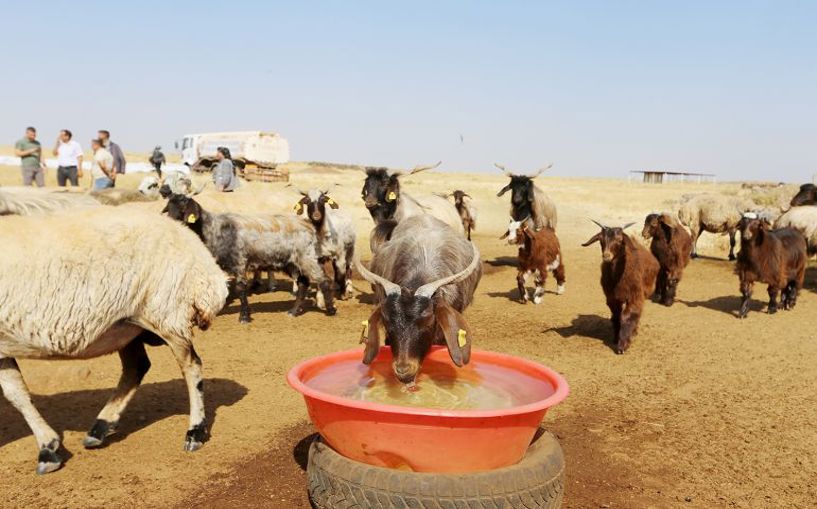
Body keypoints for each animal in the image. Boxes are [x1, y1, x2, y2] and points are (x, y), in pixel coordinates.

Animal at [0, 205, 228, 472]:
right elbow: (18, 395)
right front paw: (48, 449)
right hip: (126, 325)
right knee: (136, 367)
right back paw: (100, 428)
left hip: (166, 312)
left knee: (191, 367)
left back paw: (195, 432)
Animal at [163, 192, 334, 320]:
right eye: (168, 209)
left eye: (184, 209)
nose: (170, 226)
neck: (212, 229)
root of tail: (308, 226)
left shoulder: (239, 261)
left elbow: (240, 288)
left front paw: (244, 316)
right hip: (293, 262)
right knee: (303, 284)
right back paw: (293, 312)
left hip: (307, 259)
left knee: (324, 281)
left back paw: (330, 310)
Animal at [584, 220, 660, 356]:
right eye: (601, 239)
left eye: (620, 240)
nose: (607, 256)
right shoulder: (612, 298)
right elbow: (617, 315)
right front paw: (616, 338)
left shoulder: (635, 297)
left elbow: (628, 315)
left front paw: (623, 345)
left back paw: (634, 332)